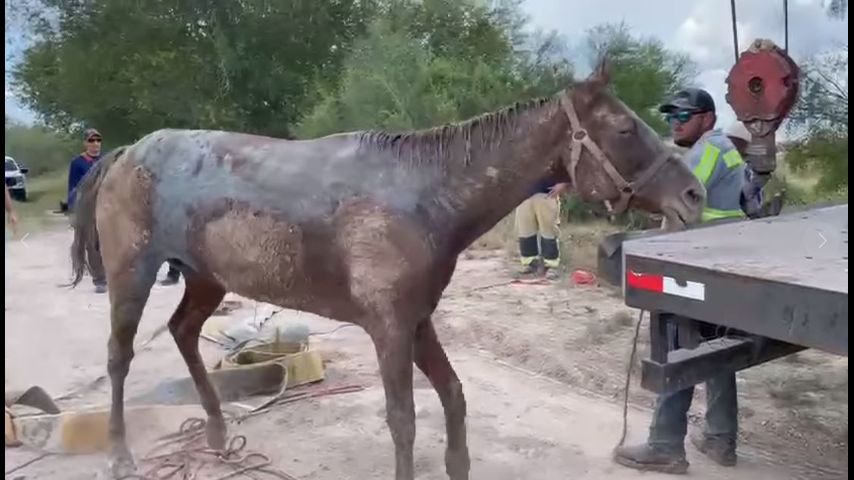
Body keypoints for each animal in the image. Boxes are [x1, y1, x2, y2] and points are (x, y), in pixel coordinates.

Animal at [69, 59, 704, 480]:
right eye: (625, 129)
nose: (693, 195)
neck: (424, 196)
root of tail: (124, 153)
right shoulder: (390, 328)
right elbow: (405, 419)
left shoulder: (417, 320)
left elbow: (453, 395)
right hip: (133, 274)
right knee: (119, 357)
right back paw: (120, 454)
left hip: (204, 278)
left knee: (182, 333)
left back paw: (220, 435)